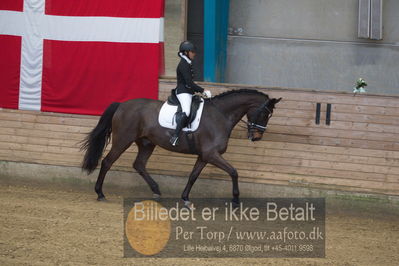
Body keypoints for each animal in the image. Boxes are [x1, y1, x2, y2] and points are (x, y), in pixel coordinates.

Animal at [81, 89, 282, 206]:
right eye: (265, 113)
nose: (257, 137)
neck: (221, 115)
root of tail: (122, 104)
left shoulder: (204, 156)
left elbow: (193, 176)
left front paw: (185, 198)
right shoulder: (211, 154)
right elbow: (233, 172)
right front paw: (235, 199)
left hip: (146, 143)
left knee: (139, 164)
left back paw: (156, 189)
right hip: (123, 140)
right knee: (107, 162)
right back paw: (100, 193)